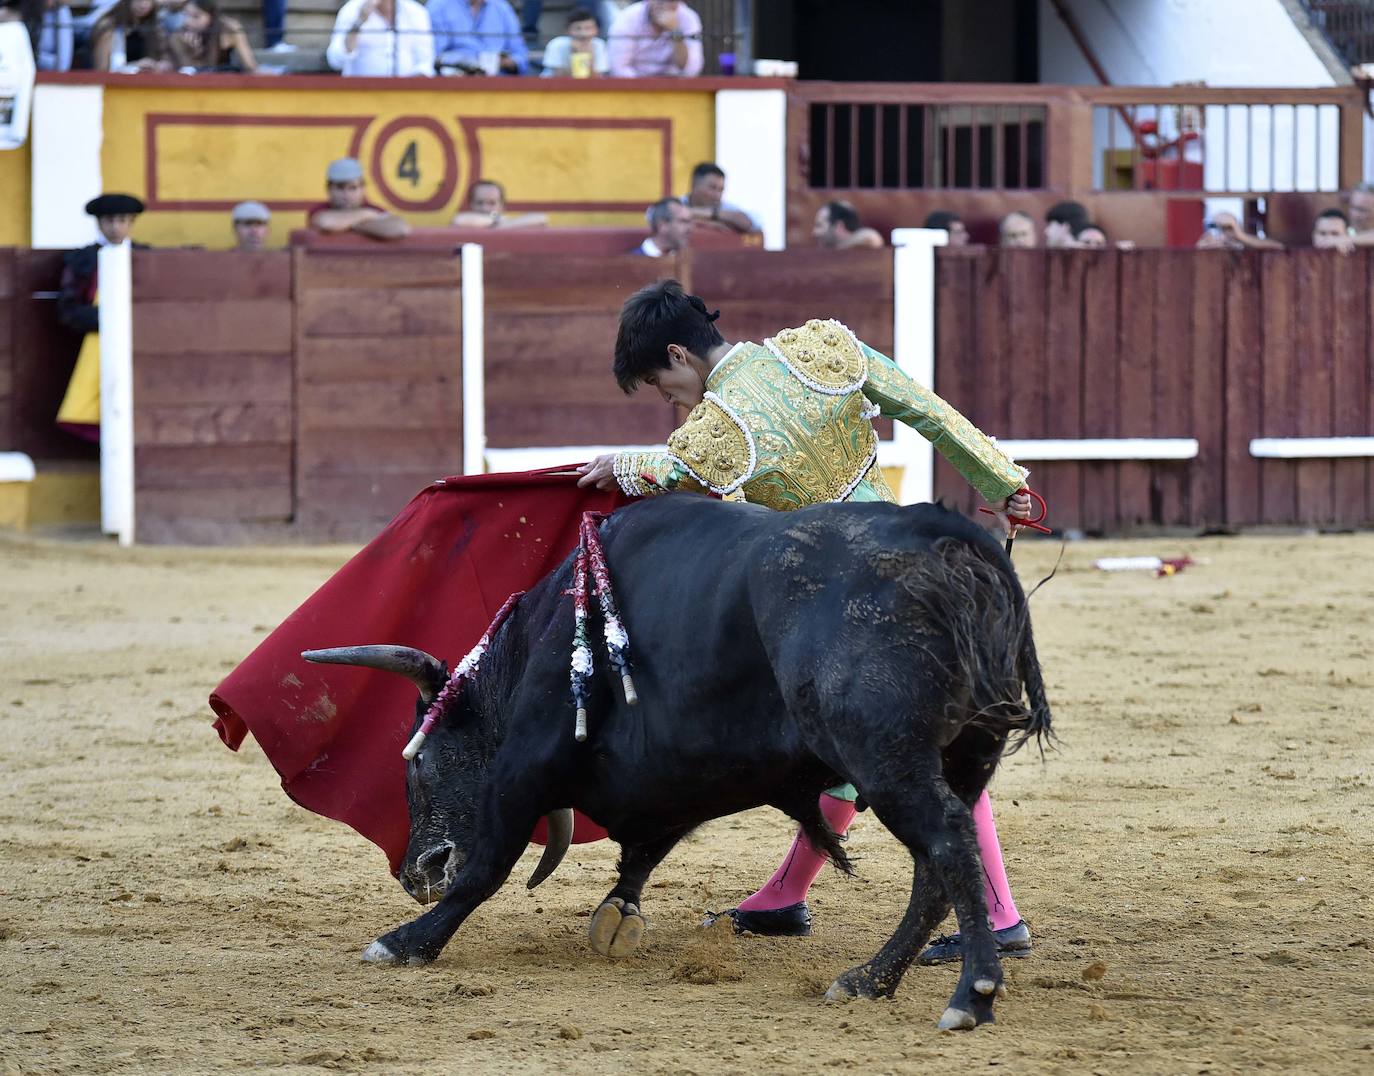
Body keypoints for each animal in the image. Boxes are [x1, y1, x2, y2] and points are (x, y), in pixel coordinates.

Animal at [303, 497, 1049, 1027]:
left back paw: (971, 994)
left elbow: (487, 866)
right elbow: (643, 851)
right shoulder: (683, 779)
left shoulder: (524, 765)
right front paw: (618, 912)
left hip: (884, 755)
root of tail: (947, 539)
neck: (537, 646)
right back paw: (870, 980)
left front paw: (406, 941)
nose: (416, 872)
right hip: (962, 754)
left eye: (418, 762)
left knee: (946, 843)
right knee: (939, 863)